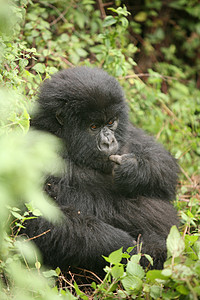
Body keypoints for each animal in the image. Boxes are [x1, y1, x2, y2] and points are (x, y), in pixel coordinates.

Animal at [24, 67, 179, 274]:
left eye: (111, 122)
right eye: (94, 126)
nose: (109, 142)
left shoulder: (128, 133)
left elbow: (164, 163)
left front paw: (133, 170)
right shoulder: (34, 149)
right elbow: (37, 216)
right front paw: (128, 247)